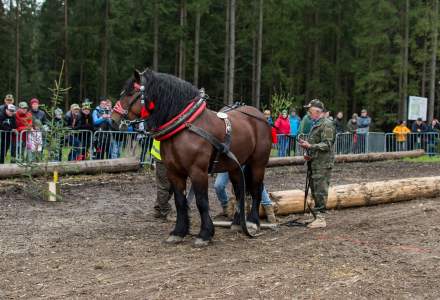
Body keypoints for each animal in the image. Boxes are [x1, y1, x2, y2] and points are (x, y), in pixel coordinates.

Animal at [111, 69, 272, 246]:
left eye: (131, 93)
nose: (112, 120)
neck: (185, 125)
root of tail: (260, 117)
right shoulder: (174, 172)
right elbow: (180, 202)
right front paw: (178, 232)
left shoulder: (198, 171)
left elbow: (202, 202)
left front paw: (205, 234)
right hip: (235, 166)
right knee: (239, 191)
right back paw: (237, 223)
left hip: (258, 163)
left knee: (256, 189)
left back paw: (252, 222)